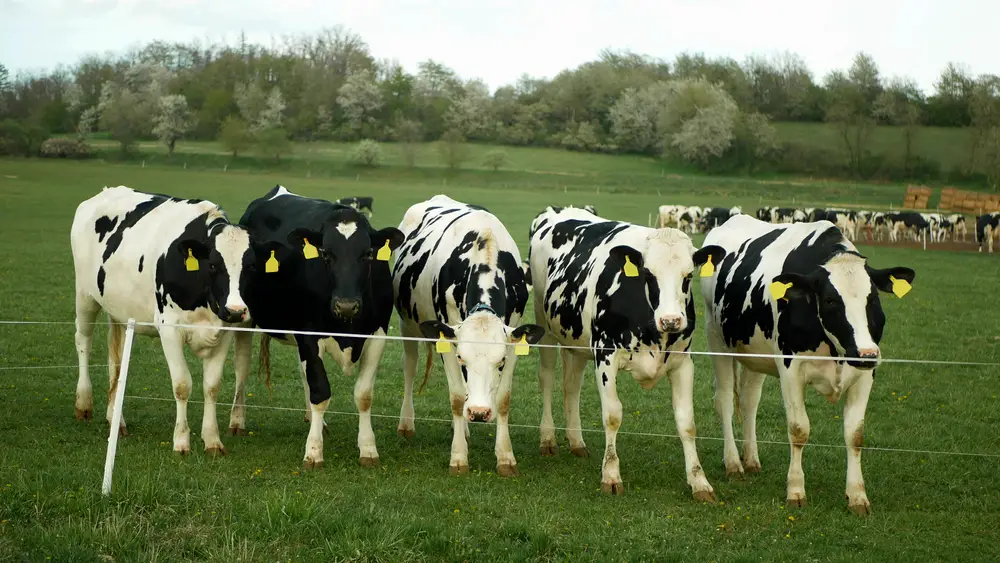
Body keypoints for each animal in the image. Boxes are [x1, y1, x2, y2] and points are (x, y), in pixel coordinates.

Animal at [71, 187, 256, 456]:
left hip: (120, 312)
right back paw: (83, 404)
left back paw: (116, 421)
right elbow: (182, 385)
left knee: (116, 361)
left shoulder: (224, 330)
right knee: (83, 341)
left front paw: (212, 440)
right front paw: (181, 442)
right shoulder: (170, 329)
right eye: (213, 265)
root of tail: (106, 192)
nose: (235, 310)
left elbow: (212, 386)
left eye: (251, 267)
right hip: (85, 295)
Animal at [230, 186, 406, 472]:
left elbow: (363, 395)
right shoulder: (310, 335)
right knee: (241, 368)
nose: (346, 305)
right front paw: (313, 452)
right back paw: (236, 421)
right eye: (326, 253)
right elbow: (321, 391)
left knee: (303, 374)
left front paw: (368, 449)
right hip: (243, 317)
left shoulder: (378, 334)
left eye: (368, 254)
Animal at [392, 195, 548, 476]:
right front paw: (458, 458)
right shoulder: (449, 338)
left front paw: (505, 458)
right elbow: (456, 398)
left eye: (501, 362)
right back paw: (407, 424)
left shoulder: (513, 337)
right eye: (462, 359)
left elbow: (503, 399)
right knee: (410, 367)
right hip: (406, 324)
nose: (478, 412)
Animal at [528, 207, 724, 502]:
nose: (671, 320)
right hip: (545, 326)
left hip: (576, 341)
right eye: (648, 274)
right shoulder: (605, 356)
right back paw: (548, 439)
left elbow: (687, 422)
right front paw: (611, 476)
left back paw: (576, 441)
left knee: (571, 386)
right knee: (547, 379)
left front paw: (699, 482)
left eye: (689, 276)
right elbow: (612, 415)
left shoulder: (683, 363)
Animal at [700, 216, 916, 516]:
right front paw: (795, 491)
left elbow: (855, 434)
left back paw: (751, 459)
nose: (866, 353)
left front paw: (857, 495)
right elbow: (798, 429)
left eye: (872, 299)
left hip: (756, 354)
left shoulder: (865, 375)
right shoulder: (790, 368)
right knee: (725, 402)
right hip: (716, 340)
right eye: (830, 300)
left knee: (749, 401)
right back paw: (733, 463)